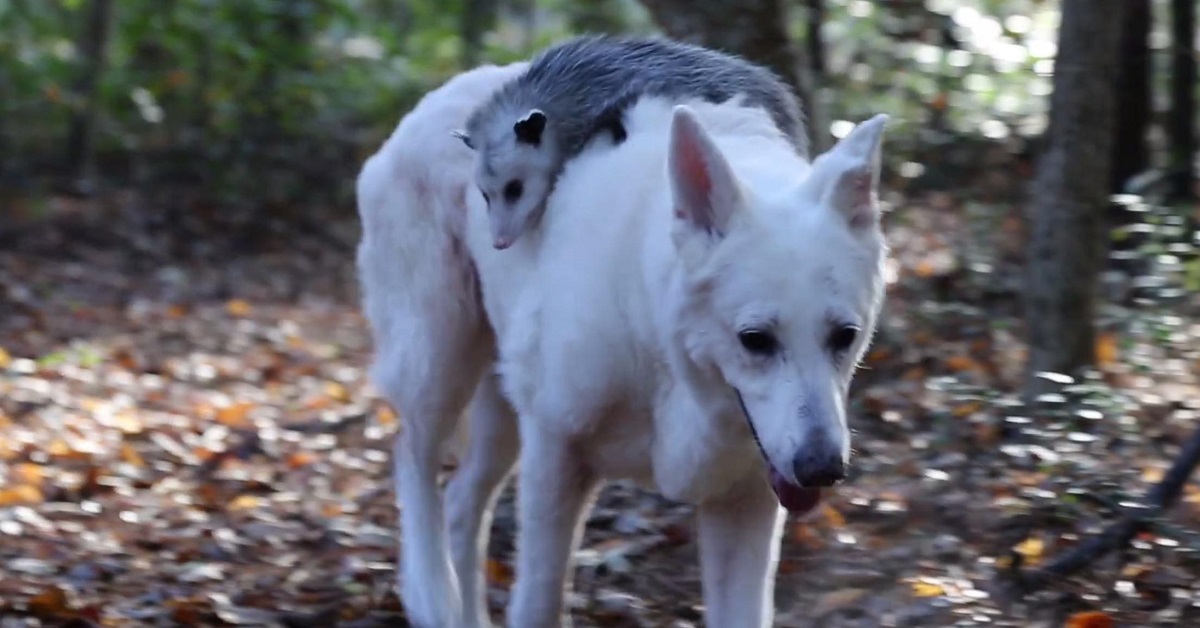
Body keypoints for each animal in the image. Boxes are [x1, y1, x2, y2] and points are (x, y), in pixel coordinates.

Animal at [355, 63, 892, 628]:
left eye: (845, 337)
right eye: (755, 340)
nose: (823, 470)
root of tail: (436, 100)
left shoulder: (744, 498)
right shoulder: (554, 455)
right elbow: (540, 604)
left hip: (500, 412)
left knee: (460, 502)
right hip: (440, 364)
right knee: (411, 458)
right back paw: (429, 592)